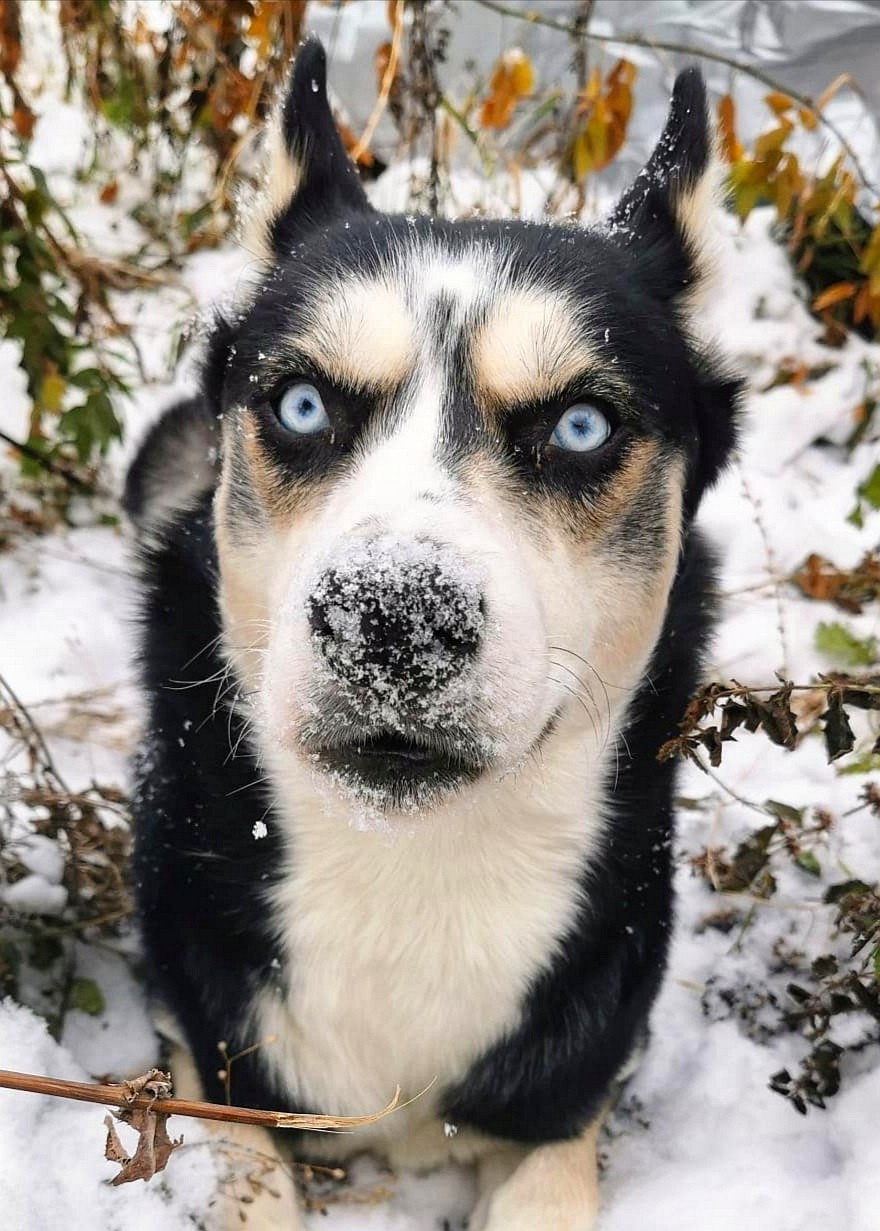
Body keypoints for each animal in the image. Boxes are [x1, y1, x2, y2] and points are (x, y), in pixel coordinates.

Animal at [123, 36, 738, 1231]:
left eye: (581, 425)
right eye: (301, 406)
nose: (393, 616)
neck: (410, 877)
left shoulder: (563, 1111)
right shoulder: (210, 1063)